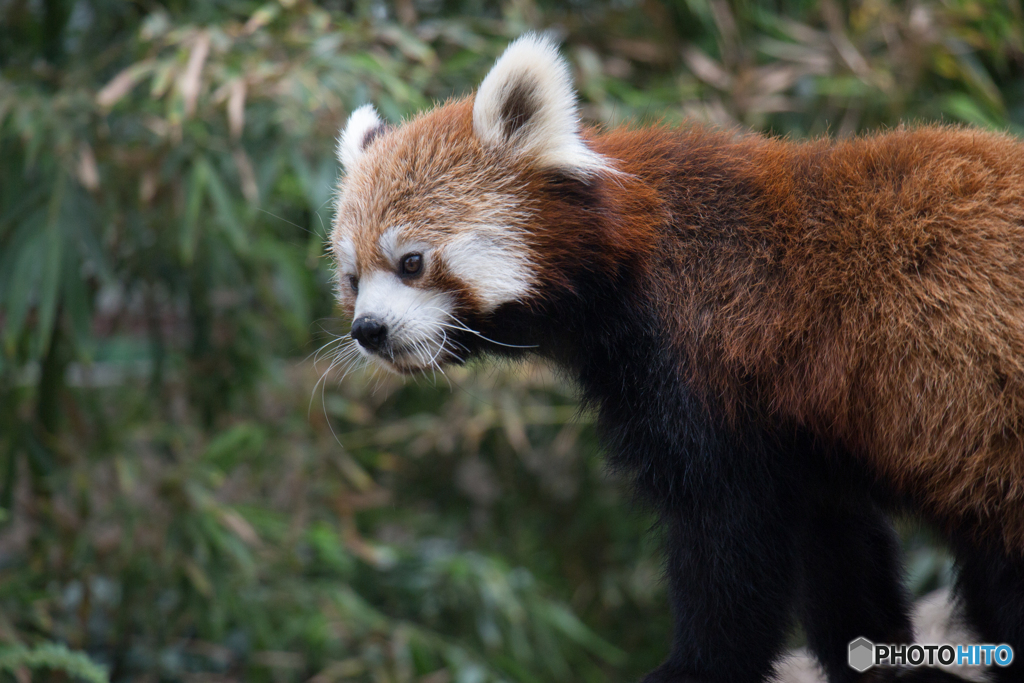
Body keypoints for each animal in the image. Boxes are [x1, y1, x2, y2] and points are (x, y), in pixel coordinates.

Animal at [329, 36, 1024, 683]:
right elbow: (833, 537)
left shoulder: (709, 360)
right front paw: (879, 662)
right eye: (352, 277)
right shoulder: (807, 430)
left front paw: (695, 667)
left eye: (411, 262)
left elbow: (727, 537)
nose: (369, 330)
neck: (627, 261)